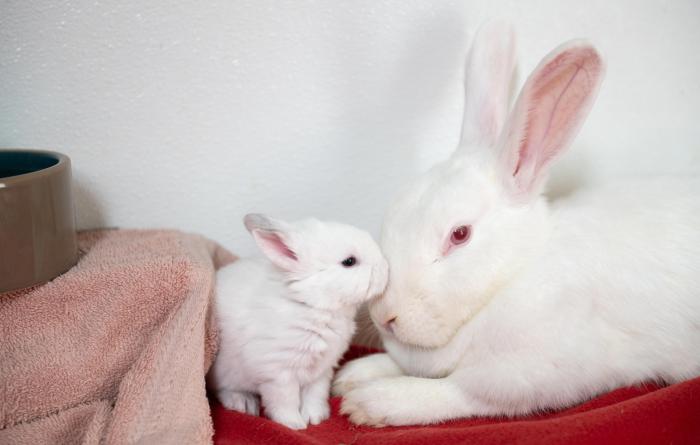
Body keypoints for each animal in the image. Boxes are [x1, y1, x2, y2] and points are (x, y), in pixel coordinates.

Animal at [208, 213, 388, 429]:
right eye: (349, 261)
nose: (386, 268)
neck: (309, 303)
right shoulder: (278, 374)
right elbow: (285, 401)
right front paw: (294, 424)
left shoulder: (321, 371)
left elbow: (315, 395)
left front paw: (316, 418)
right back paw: (243, 403)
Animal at [333, 22, 700, 427]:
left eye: (459, 235)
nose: (384, 316)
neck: (512, 276)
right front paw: (354, 374)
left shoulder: (525, 375)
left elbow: (454, 391)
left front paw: (371, 403)